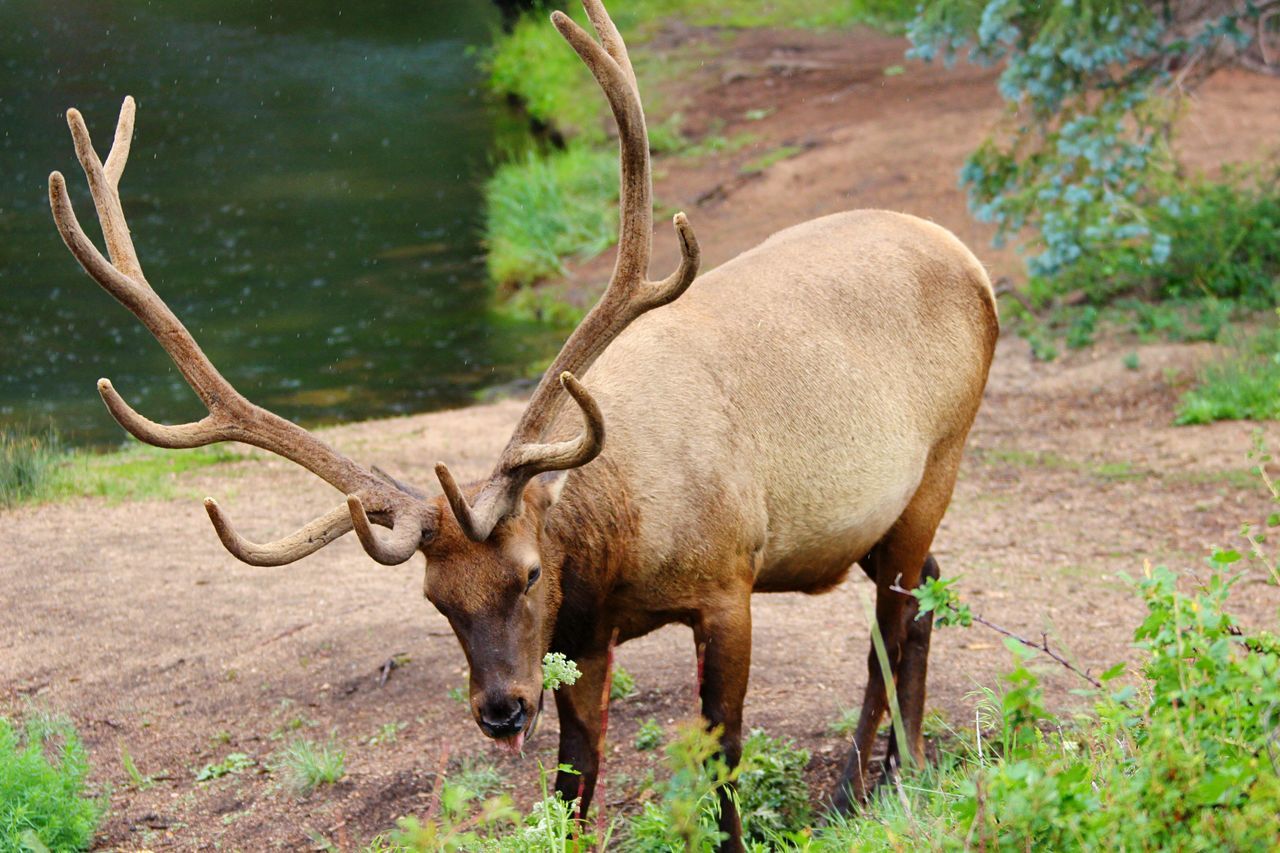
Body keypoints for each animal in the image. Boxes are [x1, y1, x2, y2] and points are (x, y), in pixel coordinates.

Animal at [45, 1, 993, 845]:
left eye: (530, 572)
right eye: (436, 599)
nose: (500, 710)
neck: (619, 547)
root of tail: (970, 260)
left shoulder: (728, 580)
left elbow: (722, 754)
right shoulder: (579, 636)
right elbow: (576, 778)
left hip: (940, 461)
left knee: (892, 622)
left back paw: (859, 786)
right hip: (879, 516)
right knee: (927, 592)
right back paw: (898, 771)